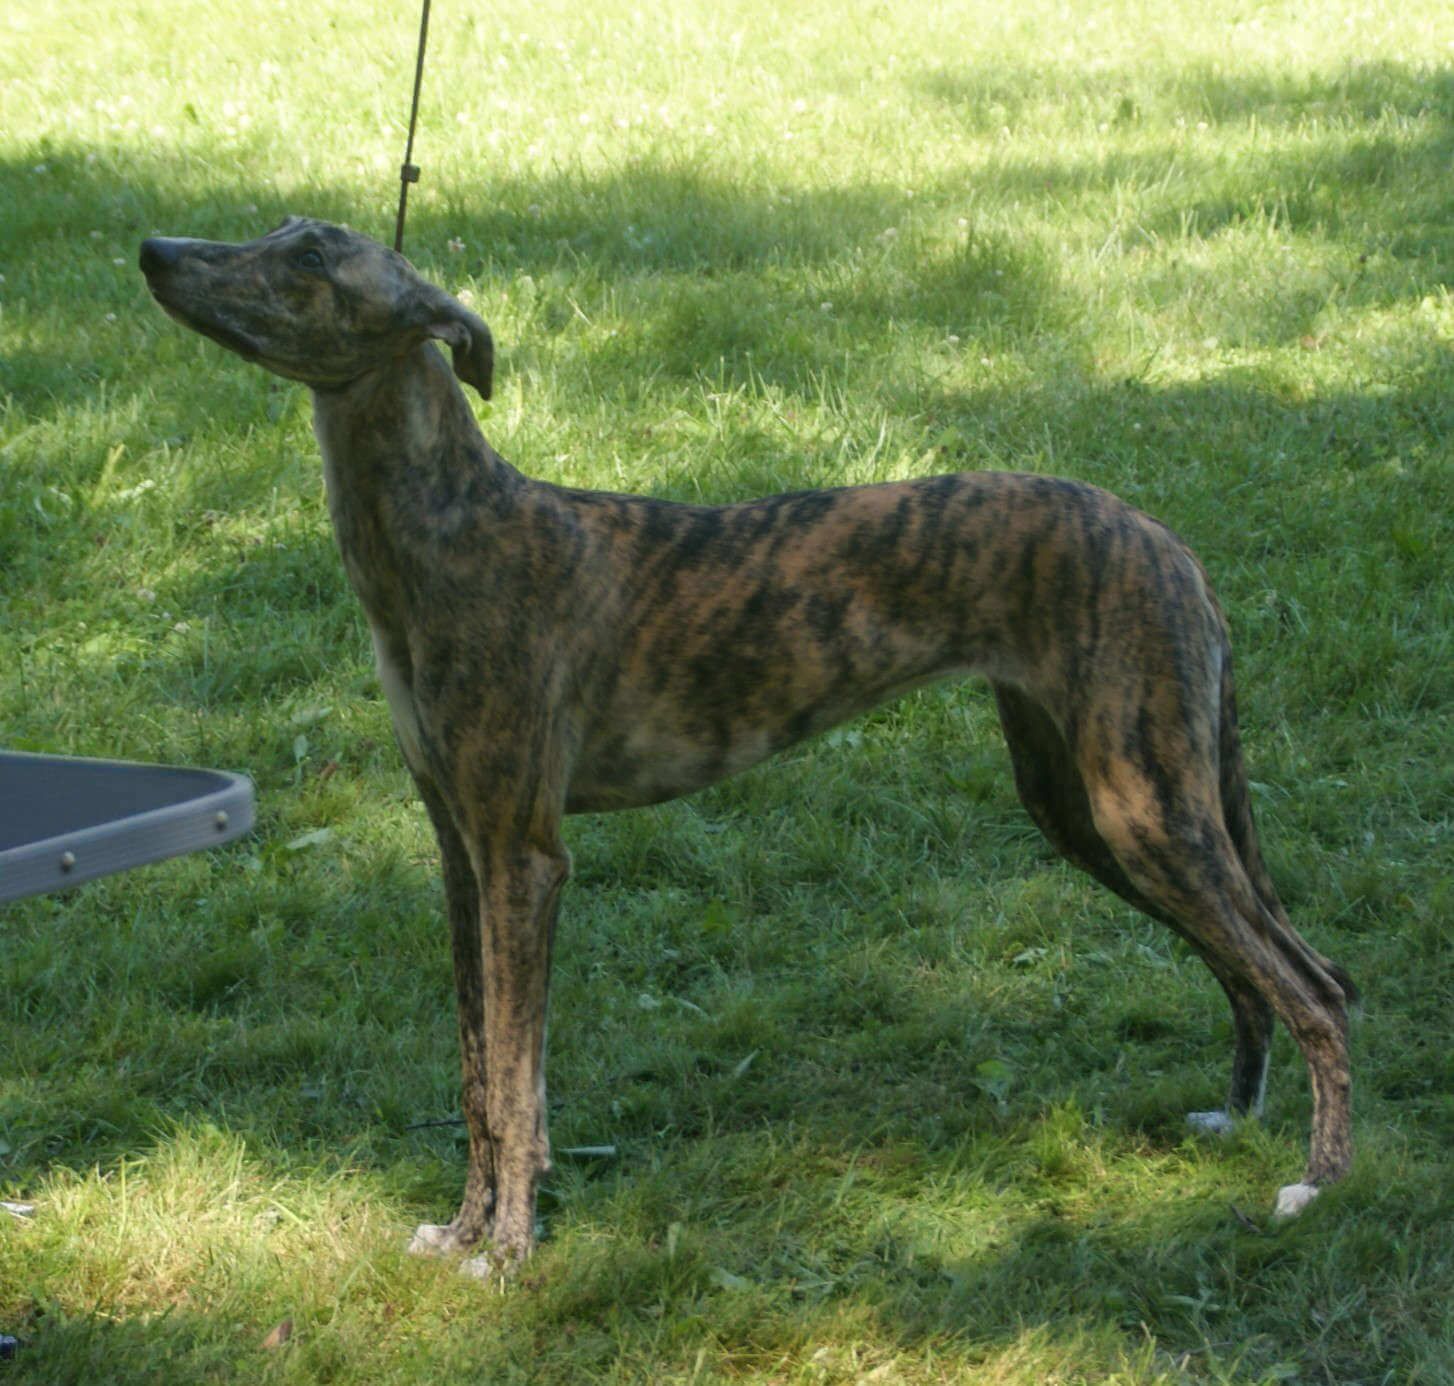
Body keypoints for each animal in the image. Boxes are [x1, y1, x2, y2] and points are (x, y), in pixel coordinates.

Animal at [139, 217, 1353, 1277]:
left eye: (307, 255)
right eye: (279, 229)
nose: (153, 249)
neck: (451, 531)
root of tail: (1169, 544)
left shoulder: (524, 859)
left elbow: (521, 1086)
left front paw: (511, 1255)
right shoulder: (459, 855)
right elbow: (480, 1078)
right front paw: (463, 1231)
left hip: (1145, 806)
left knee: (1315, 986)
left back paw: (1318, 1185)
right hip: (1092, 805)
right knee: (1267, 971)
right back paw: (1240, 1118)